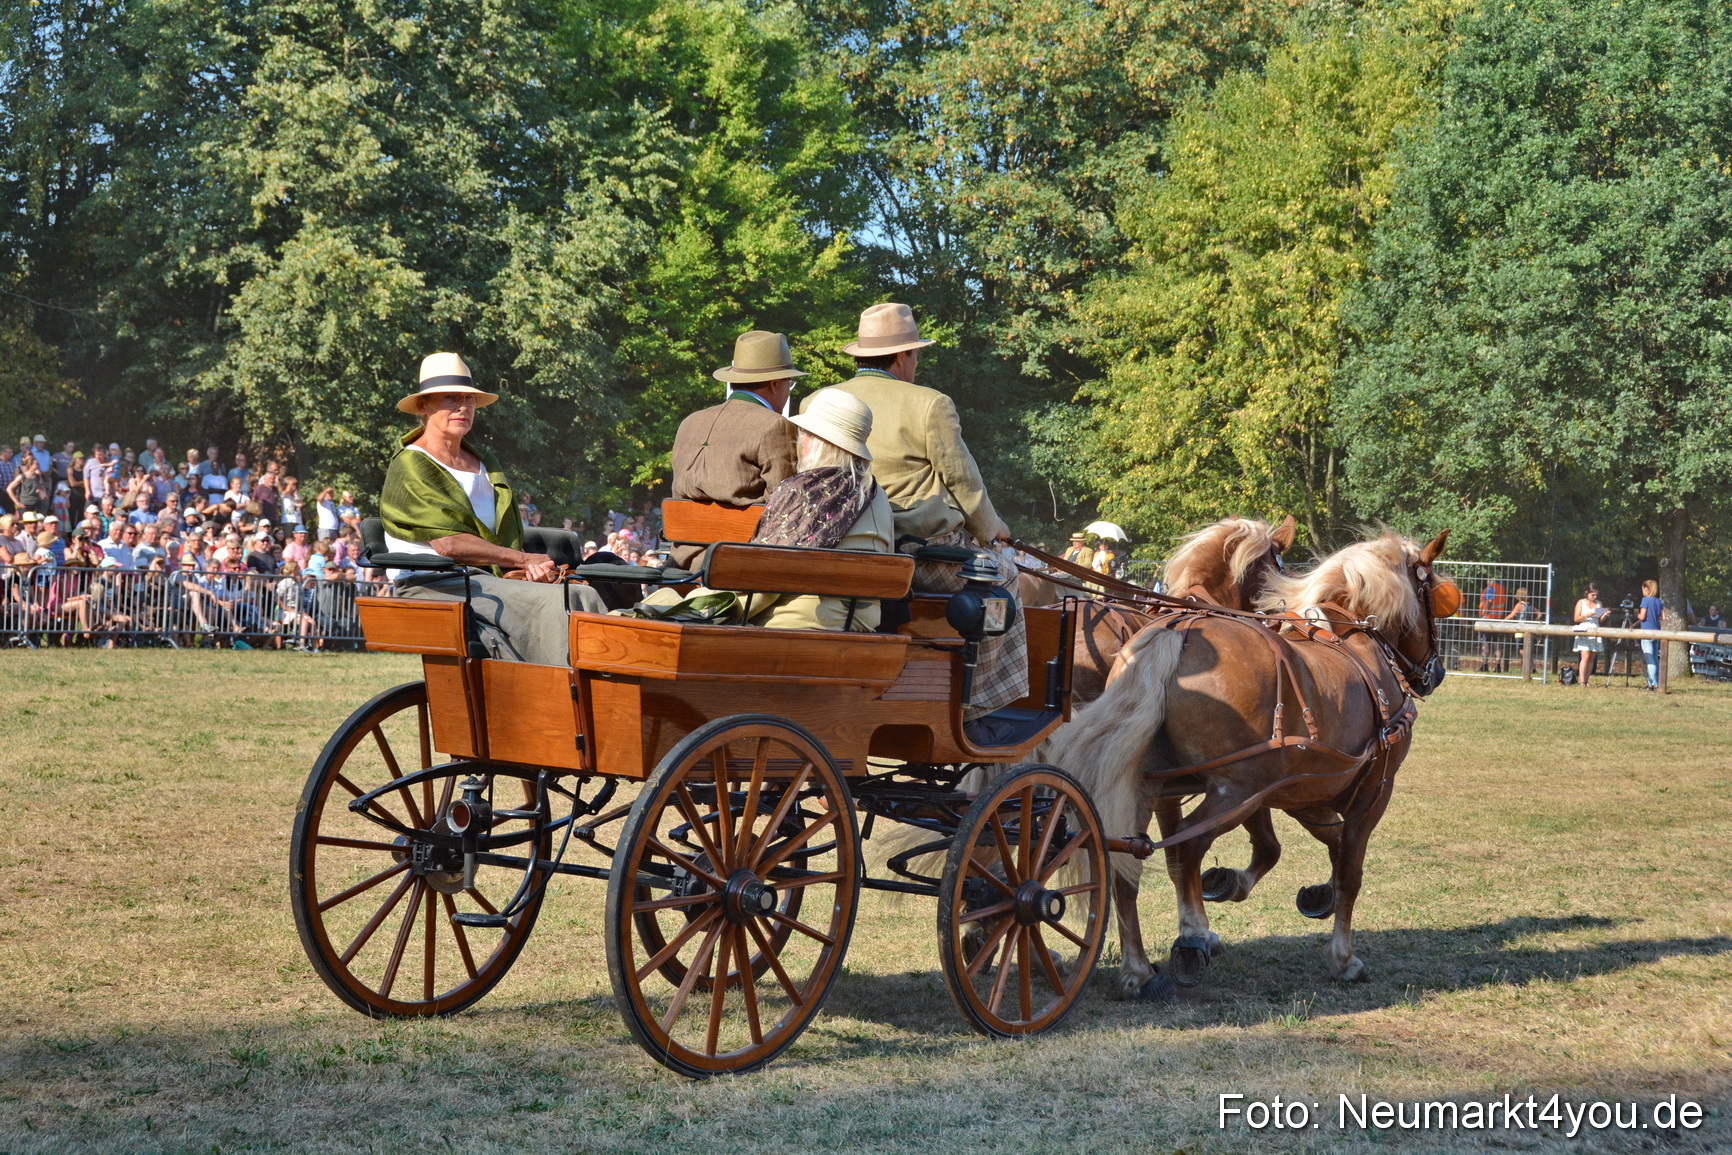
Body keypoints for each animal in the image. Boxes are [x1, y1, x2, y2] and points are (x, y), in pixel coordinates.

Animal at [1047, 530, 1454, 1000]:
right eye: (1435, 595)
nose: (1436, 673)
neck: (1358, 640)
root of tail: (1177, 630)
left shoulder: (1296, 789)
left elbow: (1301, 844)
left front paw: (1307, 893)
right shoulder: (1371, 792)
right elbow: (1349, 871)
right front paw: (1343, 959)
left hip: (1149, 786)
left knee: (1126, 862)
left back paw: (1139, 970)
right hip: (1232, 790)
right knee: (1184, 848)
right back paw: (1190, 941)